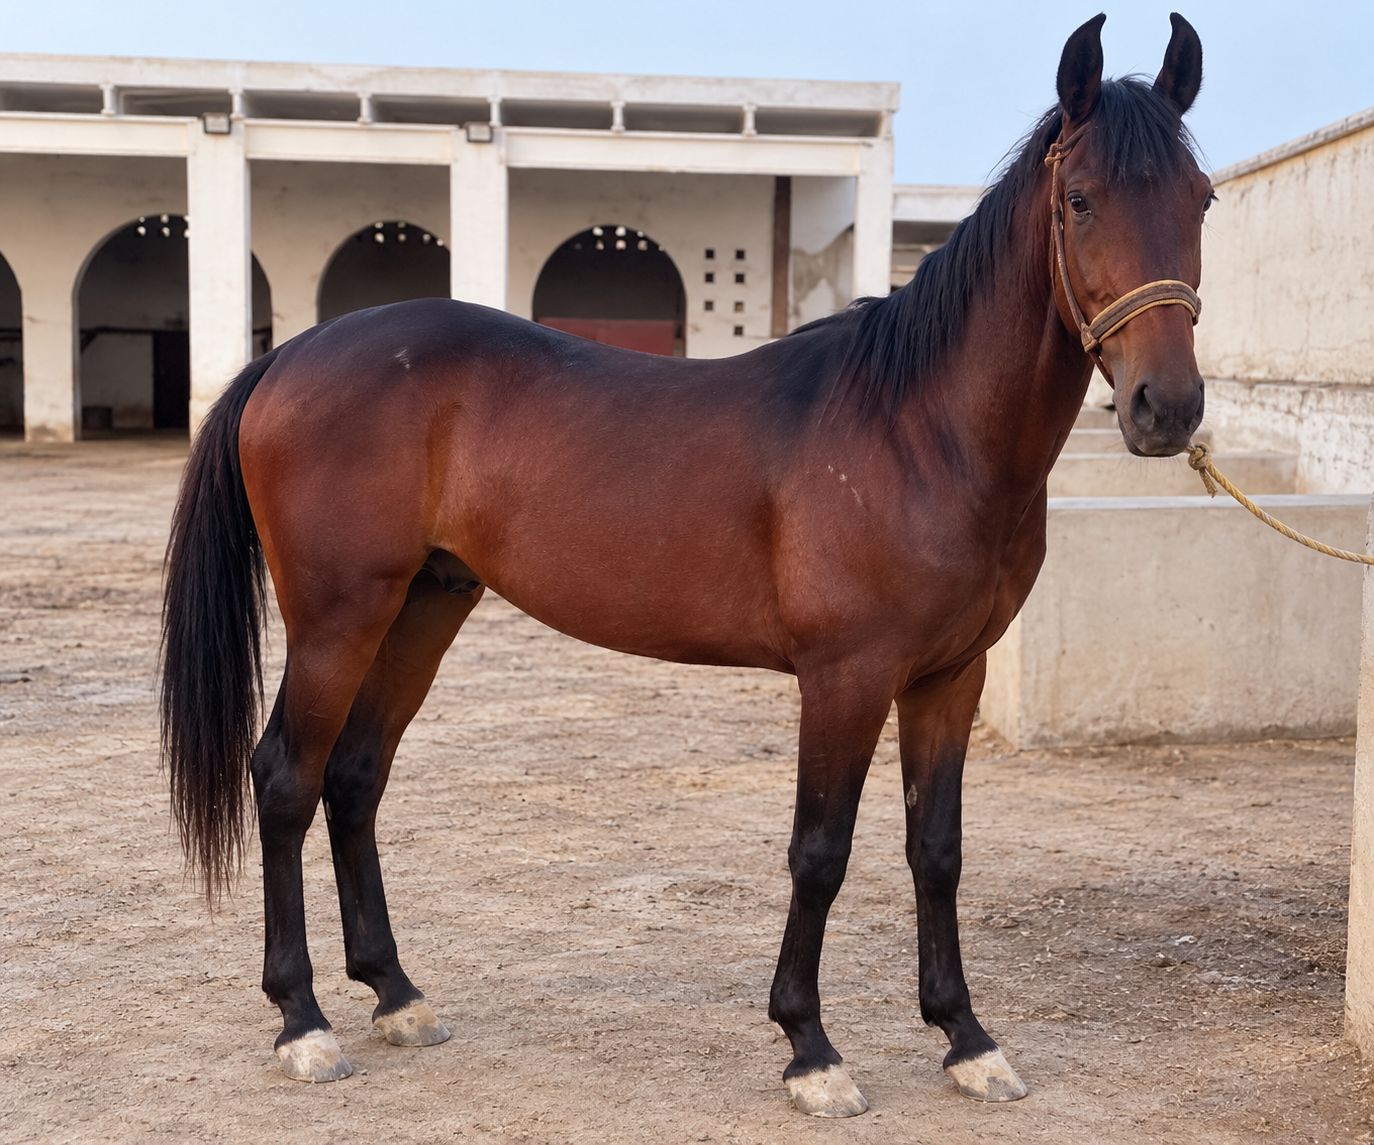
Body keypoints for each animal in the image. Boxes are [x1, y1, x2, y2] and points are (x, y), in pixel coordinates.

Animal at [161, 12, 1210, 1115]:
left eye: (1201, 199)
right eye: (1080, 198)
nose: (1167, 406)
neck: (919, 427)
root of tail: (290, 354)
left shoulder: (948, 677)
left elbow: (937, 849)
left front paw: (965, 1037)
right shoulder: (847, 677)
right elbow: (820, 851)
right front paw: (811, 1048)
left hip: (423, 605)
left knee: (356, 776)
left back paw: (397, 994)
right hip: (339, 616)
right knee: (286, 777)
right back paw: (303, 1019)